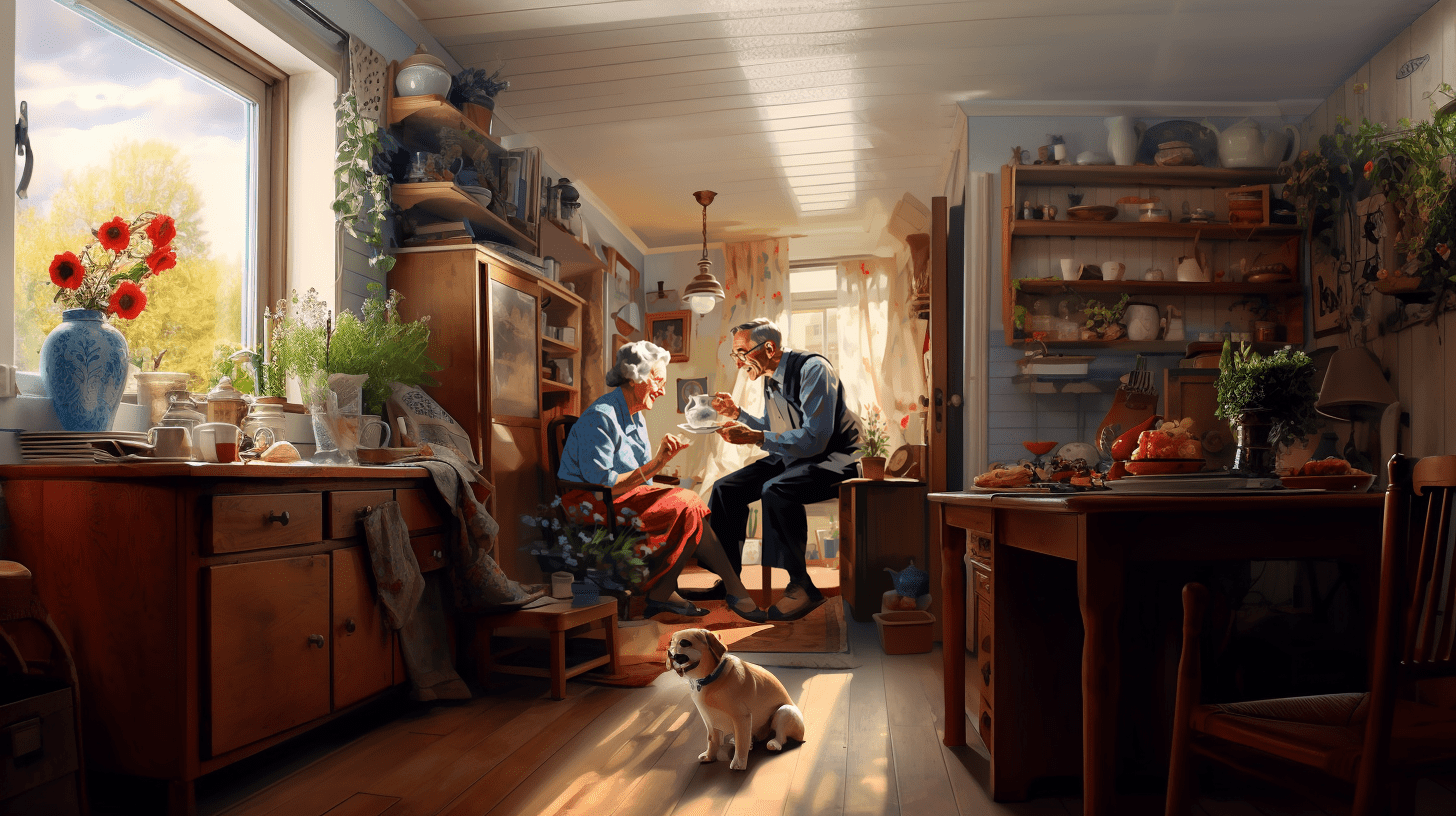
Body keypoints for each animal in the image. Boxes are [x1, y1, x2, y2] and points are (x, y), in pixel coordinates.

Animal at [663, 626, 803, 769]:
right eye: (671, 643)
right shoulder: (708, 718)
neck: (710, 679)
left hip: (785, 711)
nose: (670, 653)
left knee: (781, 736)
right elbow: (711, 739)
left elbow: (741, 743)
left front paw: (739, 763)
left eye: (684, 643)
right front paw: (709, 756)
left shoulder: (741, 717)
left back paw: (774, 743)